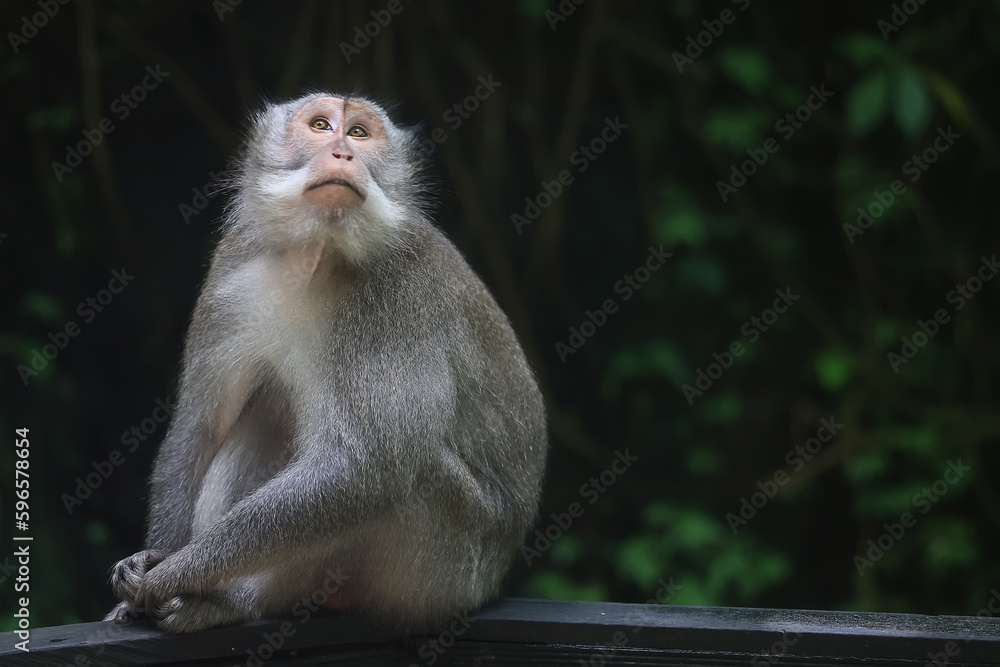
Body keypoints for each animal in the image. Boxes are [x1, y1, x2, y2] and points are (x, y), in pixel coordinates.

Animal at [104, 92, 548, 634]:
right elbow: (201, 427)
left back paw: (233, 603)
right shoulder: (233, 269)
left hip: (448, 575)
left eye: (359, 133)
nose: (342, 152)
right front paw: (151, 564)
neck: (316, 255)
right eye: (320, 126)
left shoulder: (397, 293)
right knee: (268, 411)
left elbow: (362, 471)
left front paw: (169, 575)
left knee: (400, 472)